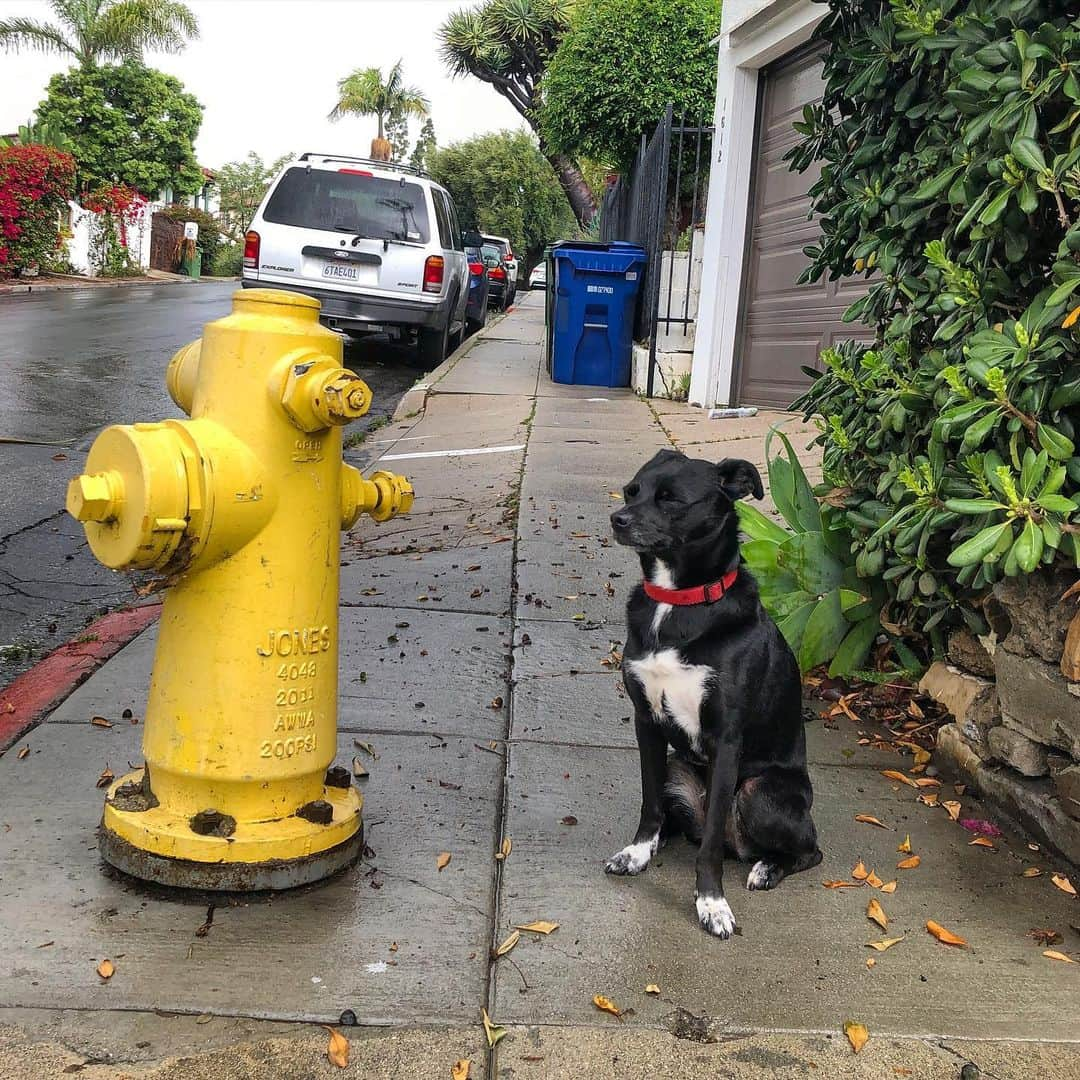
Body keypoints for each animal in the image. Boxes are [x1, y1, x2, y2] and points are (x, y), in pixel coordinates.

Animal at [609, 447, 816, 937]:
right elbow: (649, 804)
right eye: (632, 491)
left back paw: (767, 867)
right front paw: (638, 852)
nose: (617, 519)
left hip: (759, 790)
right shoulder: (646, 722)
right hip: (676, 769)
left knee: (808, 850)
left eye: (670, 499)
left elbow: (708, 858)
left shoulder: (725, 740)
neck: (676, 602)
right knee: (680, 821)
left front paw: (711, 904)